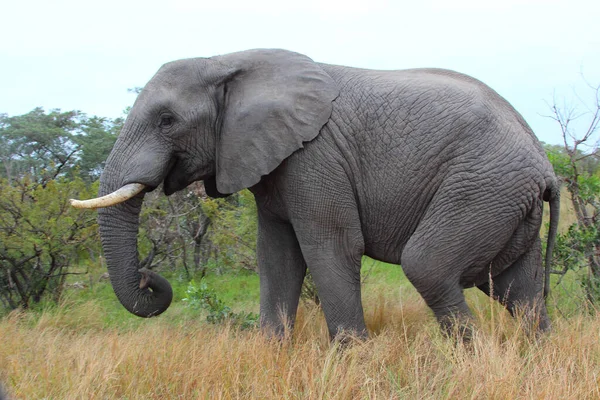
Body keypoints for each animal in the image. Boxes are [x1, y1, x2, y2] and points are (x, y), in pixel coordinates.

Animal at [72, 48, 560, 340]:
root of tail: (546, 168)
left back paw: (473, 361)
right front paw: (270, 353)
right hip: (504, 199)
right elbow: (276, 257)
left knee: (429, 267)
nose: (148, 278)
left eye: (167, 121)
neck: (229, 61)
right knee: (516, 286)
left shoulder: (315, 156)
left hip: (482, 186)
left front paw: (354, 359)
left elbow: (332, 247)